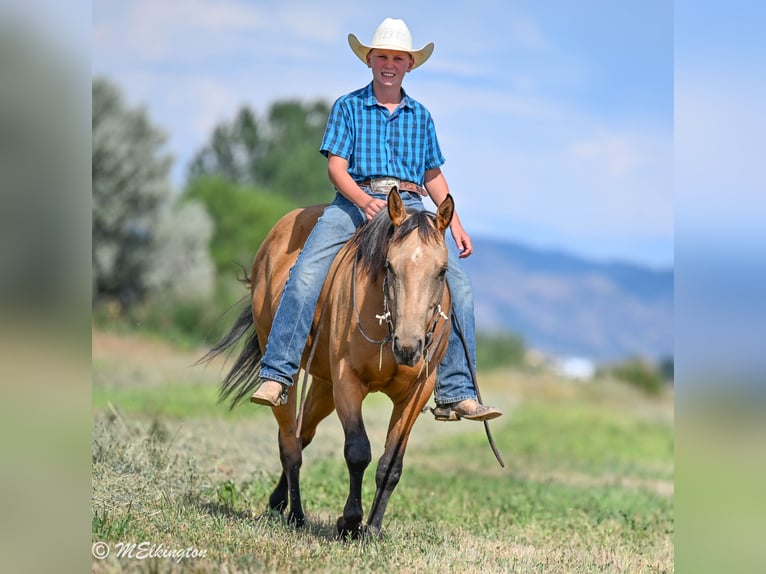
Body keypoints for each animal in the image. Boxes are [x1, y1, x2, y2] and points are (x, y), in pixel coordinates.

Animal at [202, 188, 455, 538]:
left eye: (442, 270)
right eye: (389, 266)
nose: (408, 347)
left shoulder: (415, 394)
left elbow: (391, 464)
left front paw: (372, 529)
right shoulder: (348, 381)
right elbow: (358, 451)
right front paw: (349, 522)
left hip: (323, 386)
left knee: (301, 435)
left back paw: (278, 502)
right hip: (291, 376)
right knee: (290, 444)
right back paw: (296, 515)